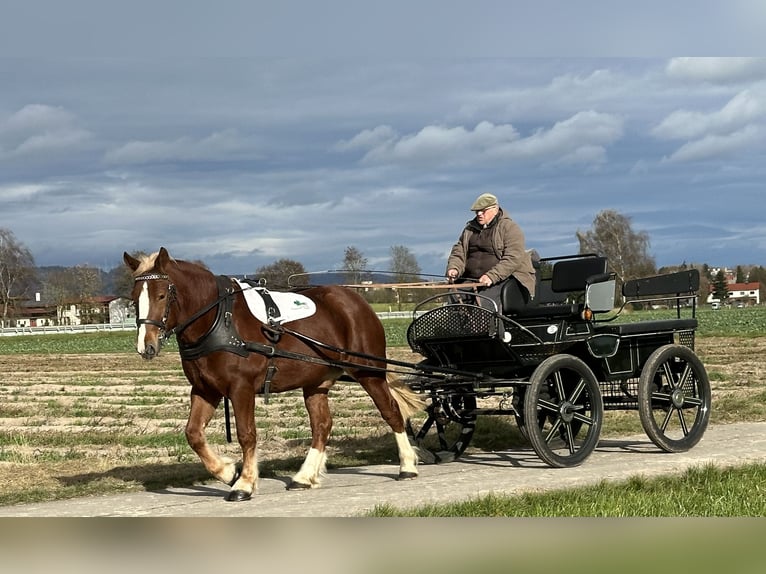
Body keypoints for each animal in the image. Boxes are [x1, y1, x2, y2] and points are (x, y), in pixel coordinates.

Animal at [126, 248, 426, 504]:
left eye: (162, 295)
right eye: (134, 296)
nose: (146, 345)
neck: (219, 319)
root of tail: (356, 301)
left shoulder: (241, 389)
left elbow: (247, 434)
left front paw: (244, 483)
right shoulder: (205, 390)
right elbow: (193, 434)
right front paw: (227, 471)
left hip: (368, 372)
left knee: (391, 412)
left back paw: (407, 465)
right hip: (316, 382)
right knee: (322, 426)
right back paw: (304, 476)